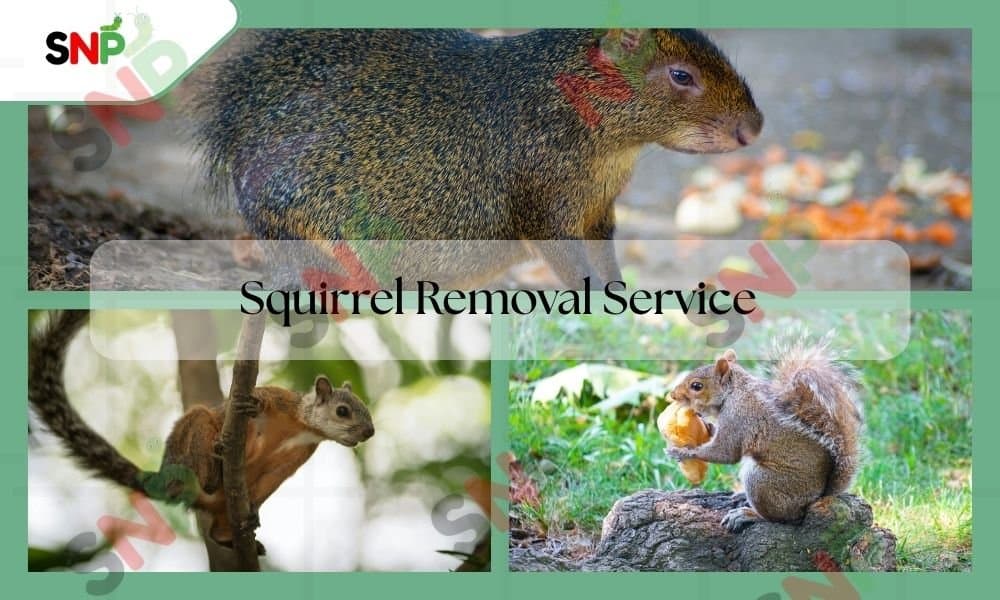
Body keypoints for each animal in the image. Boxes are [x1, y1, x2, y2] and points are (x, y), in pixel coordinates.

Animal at [29, 310, 375, 551]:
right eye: (343, 411)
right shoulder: (279, 400)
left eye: (366, 410)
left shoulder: (291, 460)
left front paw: (253, 514)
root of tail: (164, 480)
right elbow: (253, 408)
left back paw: (234, 534)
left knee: (215, 530)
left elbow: (268, 480)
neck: (301, 427)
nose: (369, 432)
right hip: (192, 434)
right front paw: (252, 407)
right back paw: (215, 470)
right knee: (204, 457)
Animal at [188, 28, 762, 287]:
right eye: (682, 75)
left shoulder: (598, 212)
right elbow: (573, 268)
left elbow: (607, 264)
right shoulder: (540, 209)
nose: (753, 127)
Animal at [665, 339, 862, 533]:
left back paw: (748, 514)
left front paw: (683, 452)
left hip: (762, 482)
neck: (734, 392)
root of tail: (818, 495)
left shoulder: (738, 418)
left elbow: (725, 452)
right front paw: (709, 426)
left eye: (696, 386)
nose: (672, 395)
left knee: (782, 518)